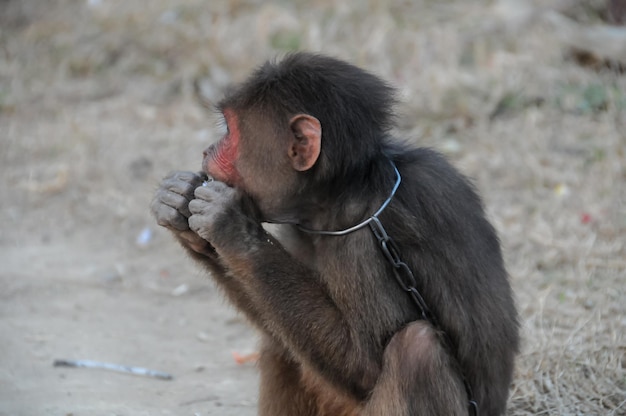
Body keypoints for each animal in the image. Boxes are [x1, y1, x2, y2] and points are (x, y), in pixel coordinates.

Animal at [151, 52, 516, 416]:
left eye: (229, 130)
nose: (207, 150)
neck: (340, 192)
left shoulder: (364, 235)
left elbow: (363, 364)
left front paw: (231, 226)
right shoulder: (303, 224)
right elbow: (278, 324)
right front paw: (181, 208)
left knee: (417, 349)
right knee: (282, 343)